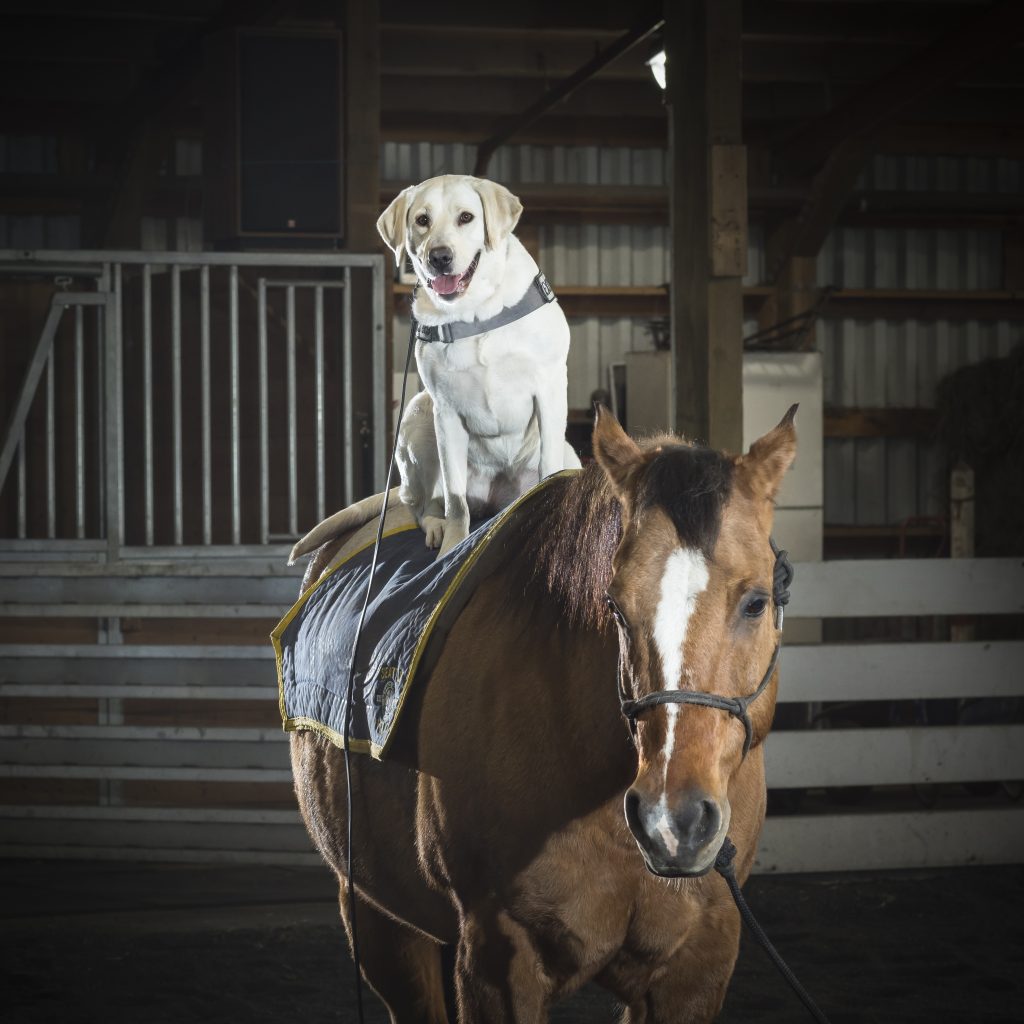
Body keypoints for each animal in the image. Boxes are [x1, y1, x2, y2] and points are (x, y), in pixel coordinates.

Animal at [288, 403, 798, 1019]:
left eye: (756, 602)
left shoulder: (699, 964)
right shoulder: (498, 961)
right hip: (377, 920)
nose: (672, 821)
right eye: (616, 609)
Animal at [292, 176, 581, 561]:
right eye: (422, 221)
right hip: (417, 414)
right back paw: (435, 526)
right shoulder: (445, 411)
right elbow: (456, 503)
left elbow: (549, 467)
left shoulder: (548, 388)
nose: (439, 257)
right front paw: (452, 550)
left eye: (466, 217)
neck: (475, 314)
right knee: (421, 503)